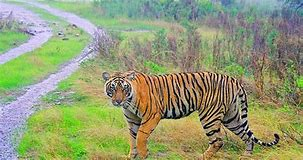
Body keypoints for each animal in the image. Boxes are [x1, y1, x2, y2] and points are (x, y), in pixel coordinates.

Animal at [102, 70, 280, 159]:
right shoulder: (132, 120)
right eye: (113, 88)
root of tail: (233, 79)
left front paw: (144, 154)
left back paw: (202, 157)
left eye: (124, 88)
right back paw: (246, 155)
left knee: (218, 141)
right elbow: (132, 138)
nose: (117, 101)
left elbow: (140, 136)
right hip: (232, 117)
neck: (129, 101)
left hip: (209, 116)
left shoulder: (152, 116)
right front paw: (132, 155)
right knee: (246, 136)